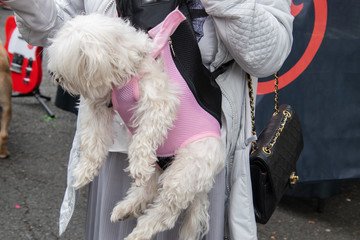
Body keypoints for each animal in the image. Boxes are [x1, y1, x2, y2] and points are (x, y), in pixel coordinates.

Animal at [46, 13, 224, 240]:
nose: (54, 75)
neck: (129, 70)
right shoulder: (99, 106)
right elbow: (93, 142)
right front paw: (85, 171)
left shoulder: (160, 103)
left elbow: (145, 137)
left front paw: (138, 163)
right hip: (160, 166)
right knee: (148, 189)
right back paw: (124, 209)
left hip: (184, 173)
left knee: (165, 214)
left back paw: (138, 233)